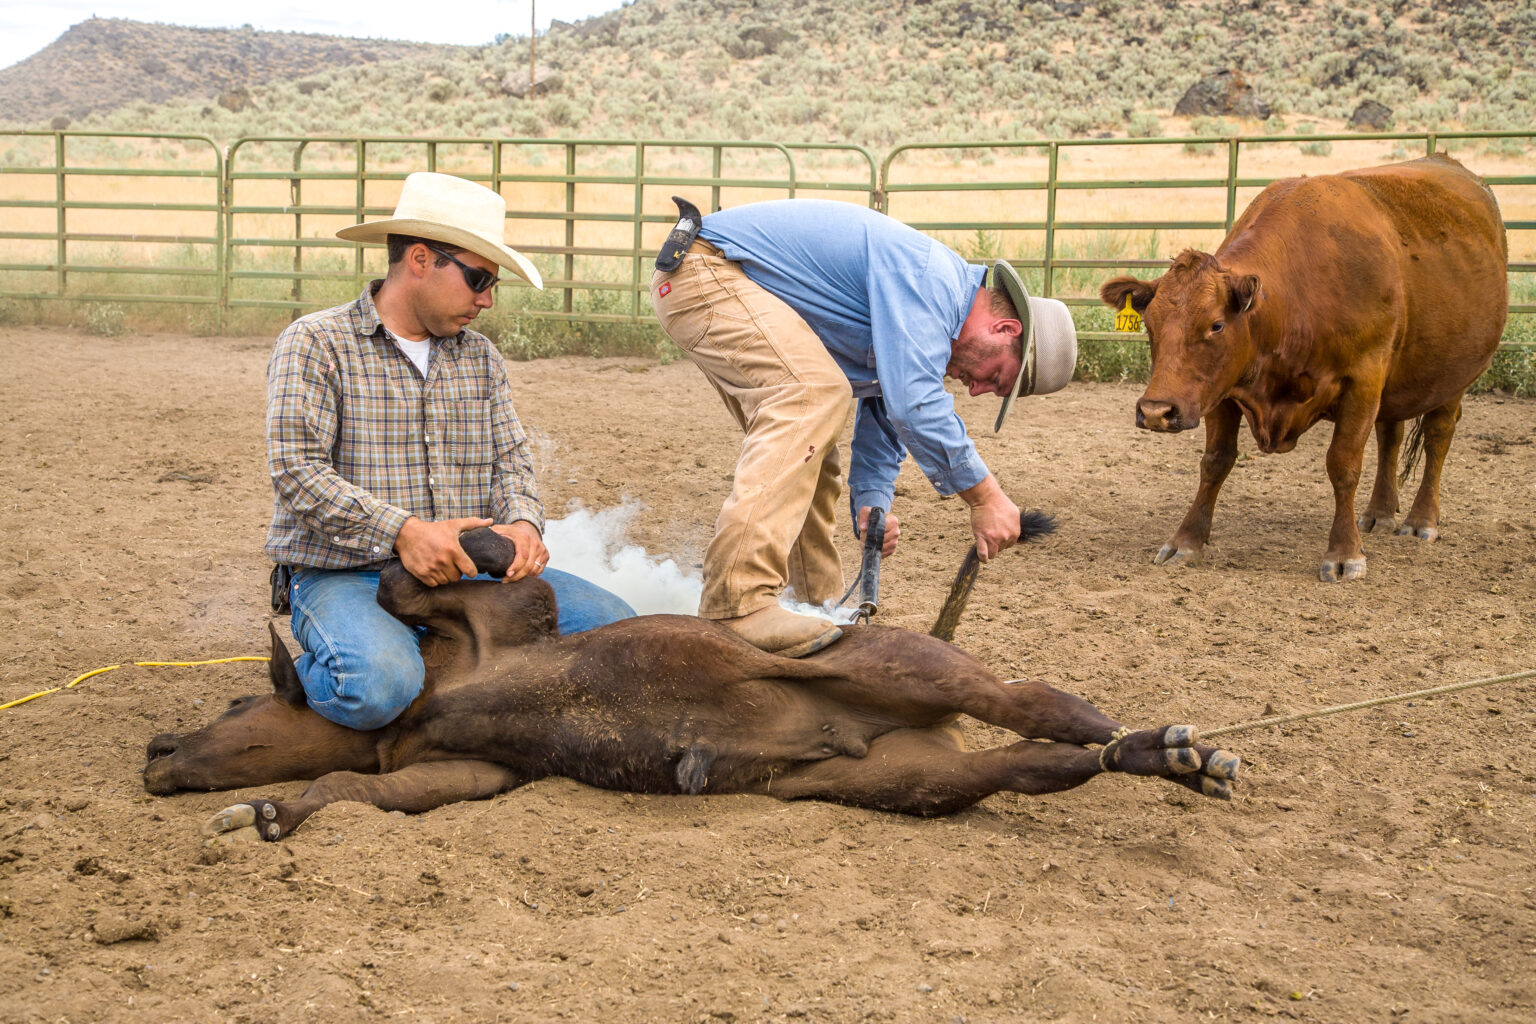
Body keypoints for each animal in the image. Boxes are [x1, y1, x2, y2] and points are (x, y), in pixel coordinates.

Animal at [144, 528, 1241, 841]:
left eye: (238, 701)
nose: (155, 752)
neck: (428, 695)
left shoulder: (501, 620)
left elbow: (422, 575)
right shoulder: (462, 772)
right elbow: (351, 788)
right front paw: (270, 812)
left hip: (926, 670)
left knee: (1044, 706)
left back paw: (1184, 749)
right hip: (911, 779)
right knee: (1041, 762)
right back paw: (1164, 758)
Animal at [1099, 155, 1505, 580]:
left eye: (1216, 324)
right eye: (1150, 323)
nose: (1155, 412)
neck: (1292, 302)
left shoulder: (1363, 382)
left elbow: (1343, 465)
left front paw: (1344, 553)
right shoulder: (1221, 391)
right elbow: (1215, 462)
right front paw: (1187, 541)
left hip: (1453, 378)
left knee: (1437, 437)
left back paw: (1421, 520)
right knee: (1390, 436)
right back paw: (1379, 513)